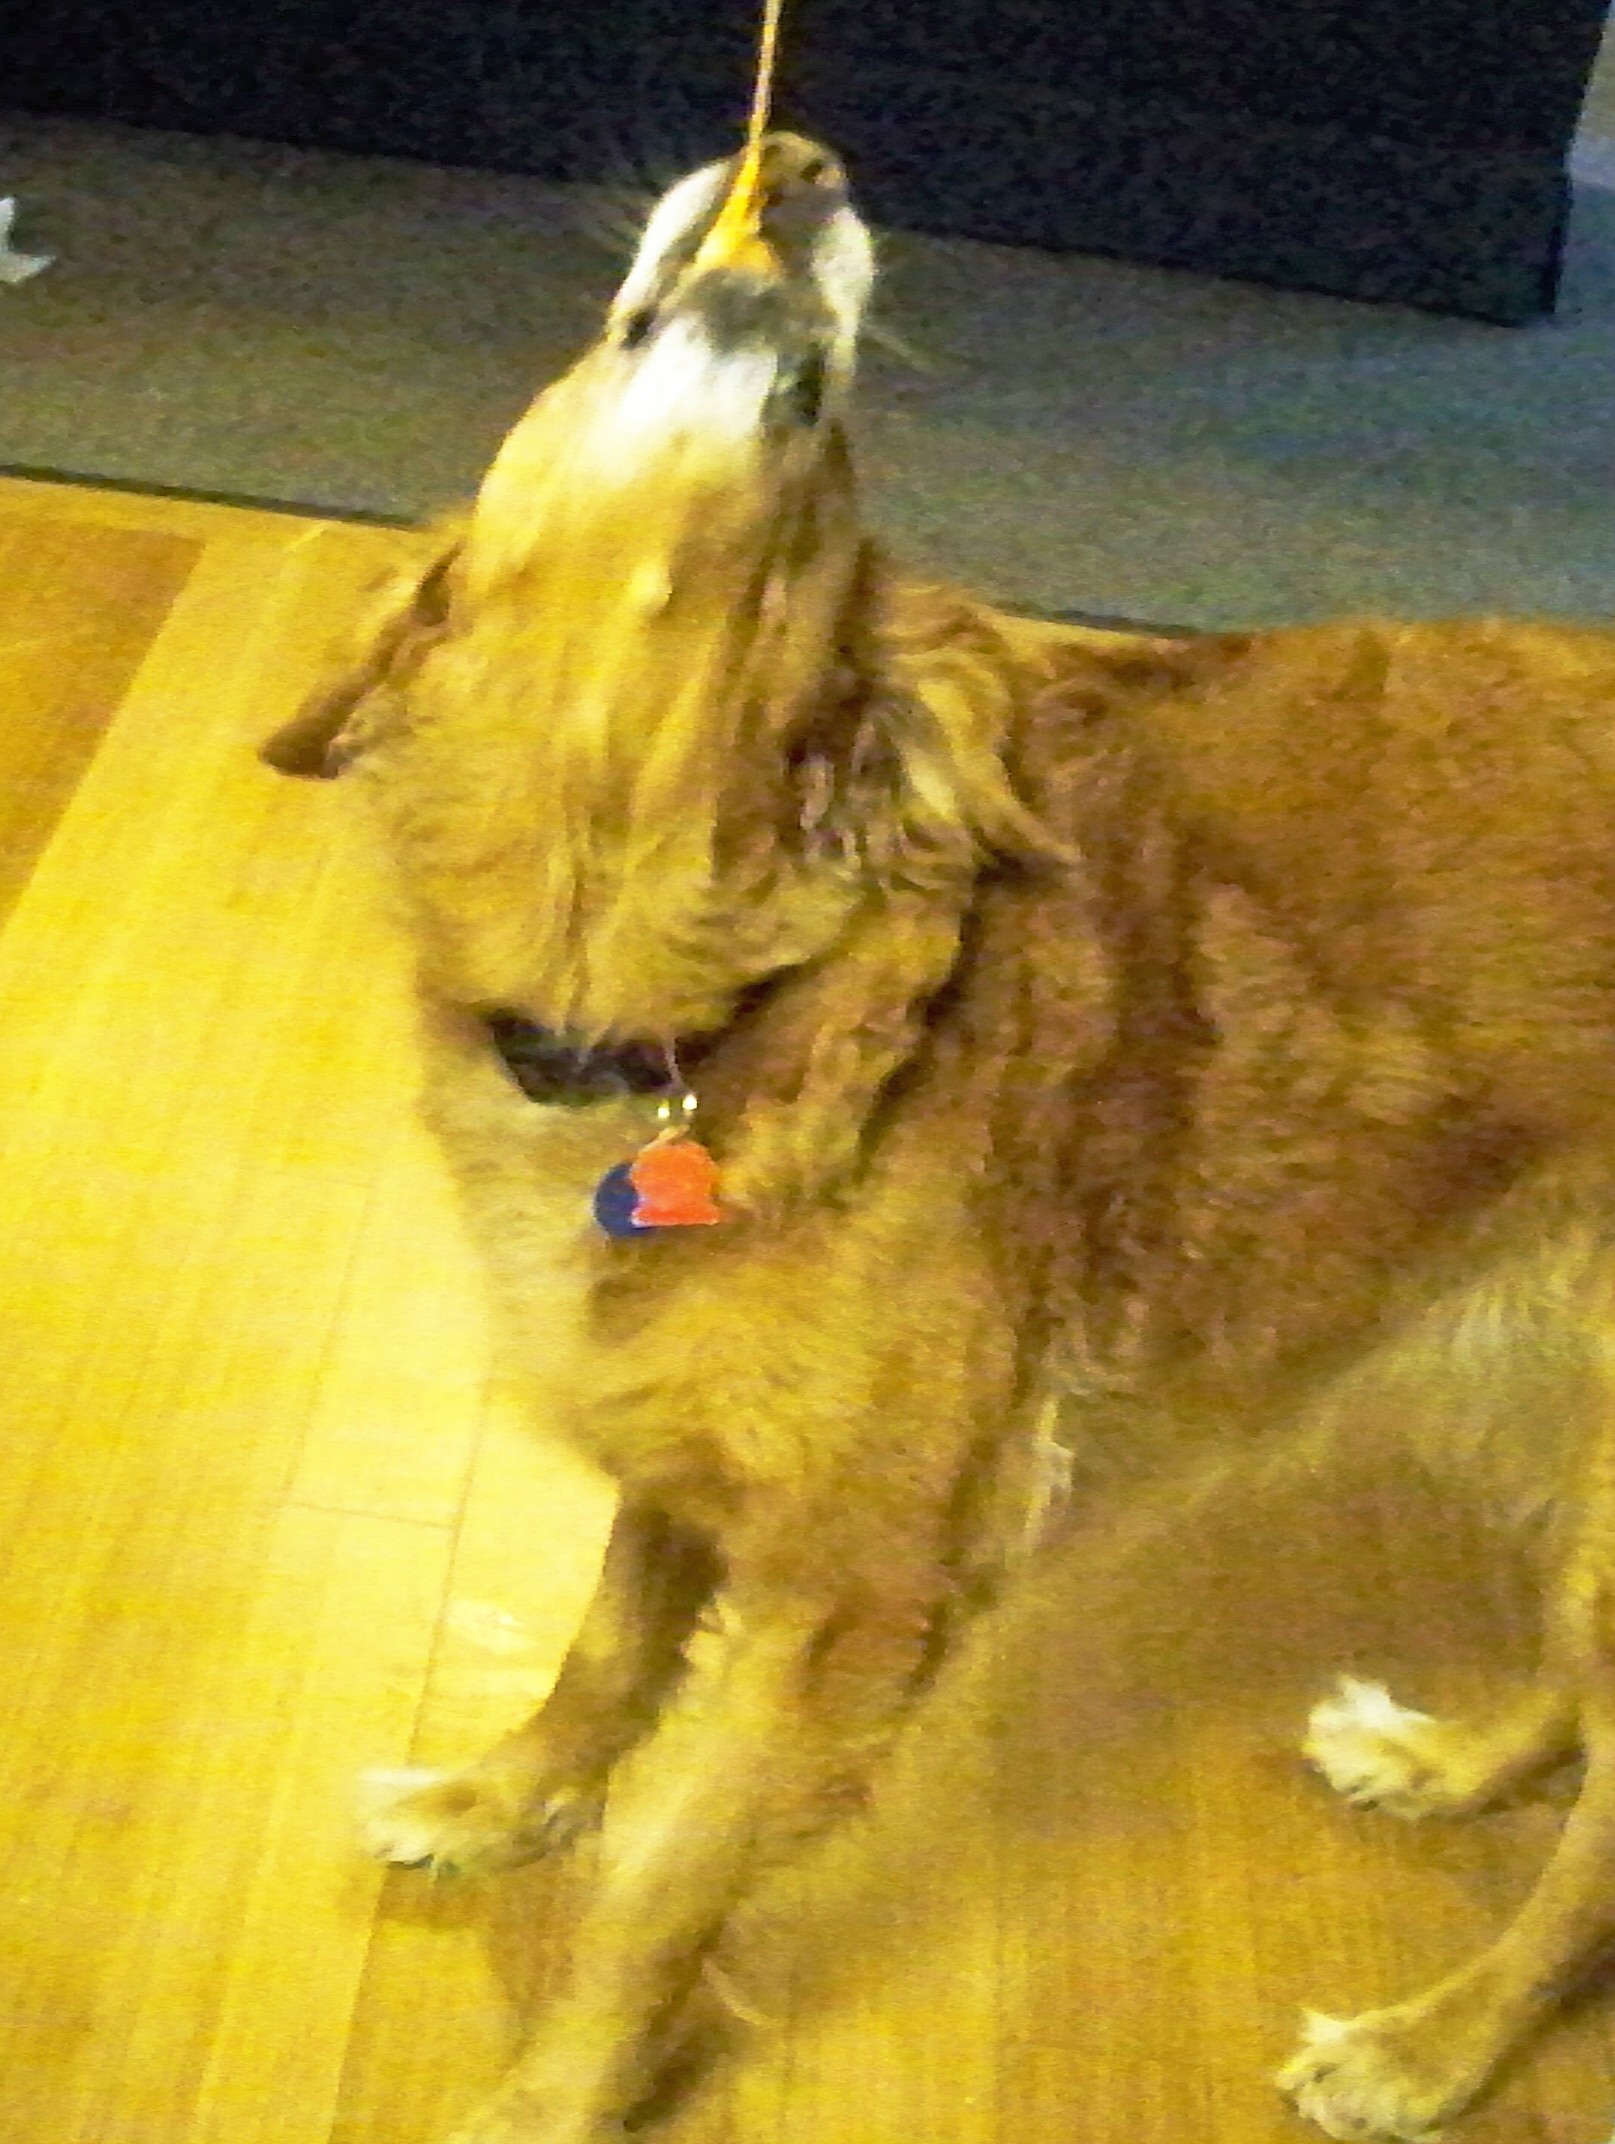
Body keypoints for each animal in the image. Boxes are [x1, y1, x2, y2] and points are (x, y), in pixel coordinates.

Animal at [265, 132, 1615, 2144]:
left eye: (831, 494)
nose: (802, 160)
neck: (693, 1008)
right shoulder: (691, 1451)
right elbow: (609, 1643)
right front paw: (504, 1798)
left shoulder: (856, 1593)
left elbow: (661, 1883)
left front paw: (554, 2096)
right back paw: (1445, 1762)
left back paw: (1426, 2046)